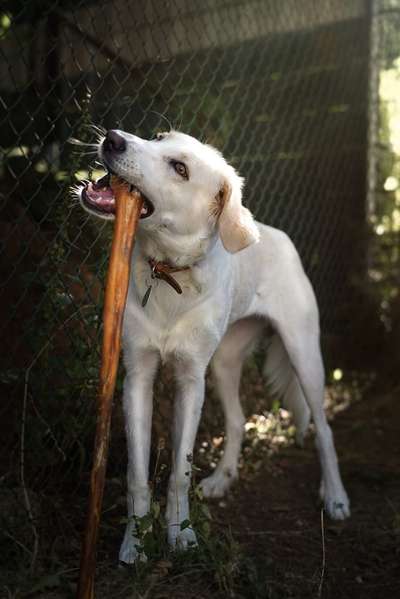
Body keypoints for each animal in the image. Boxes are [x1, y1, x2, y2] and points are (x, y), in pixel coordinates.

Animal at [76, 129, 348, 564]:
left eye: (180, 168)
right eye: (157, 137)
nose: (114, 138)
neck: (169, 272)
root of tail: (276, 234)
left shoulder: (191, 381)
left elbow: (179, 473)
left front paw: (182, 536)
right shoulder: (138, 377)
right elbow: (137, 475)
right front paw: (135, 542)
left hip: (304, 355)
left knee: (323, 429)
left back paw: (336, 497)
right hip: (223, 363)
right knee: (238, 421)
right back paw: (222, 479)